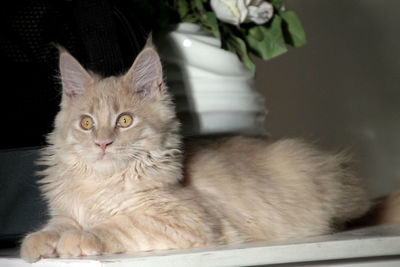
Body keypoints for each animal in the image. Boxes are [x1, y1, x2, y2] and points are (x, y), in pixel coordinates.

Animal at [20, 44, 372, 264]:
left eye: (124, 120)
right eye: (86, 123)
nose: (102, 144)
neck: (101, 185)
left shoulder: (183, 220)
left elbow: (115, 224)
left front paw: (79, 238)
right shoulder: (66, 212)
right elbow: (57, 225)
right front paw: (39, 242)